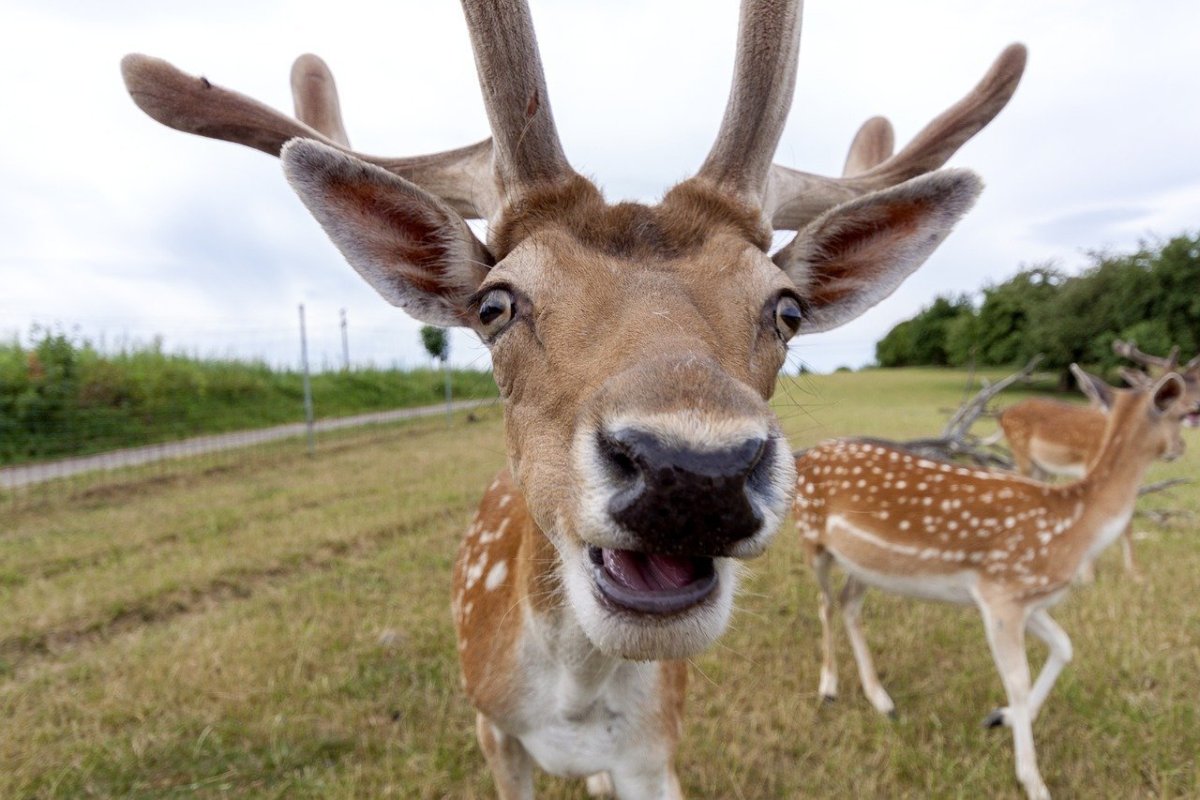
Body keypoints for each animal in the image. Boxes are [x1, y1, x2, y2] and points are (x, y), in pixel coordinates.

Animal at [121, 2, 1025, 796]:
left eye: (786, 308)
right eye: (495, 304)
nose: (694, 472)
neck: (573, 704)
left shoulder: (656, 751)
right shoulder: (490, 728)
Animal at [793, 365, 1188, 800]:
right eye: (1184, 412)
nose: (1181, 448)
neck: (1073, 527)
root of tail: (803, 459)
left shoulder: (1024, 597)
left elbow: (1064, 646)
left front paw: (1003, 718)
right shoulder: (1001, 593)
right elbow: (1017, 679)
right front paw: (1033, 781)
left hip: (865, 565)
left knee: (848, 602)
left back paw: (882, 700)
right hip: (811, 540)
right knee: (824, 602)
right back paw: (829, 687)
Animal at [996, 341, 1200, 581]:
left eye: (1196, 381)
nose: (1195, 405)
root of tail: (1002, 414)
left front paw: (1128, 571)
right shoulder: (1091, 462)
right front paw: (1113, 574)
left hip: (1040, 467)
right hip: (1023, 455)